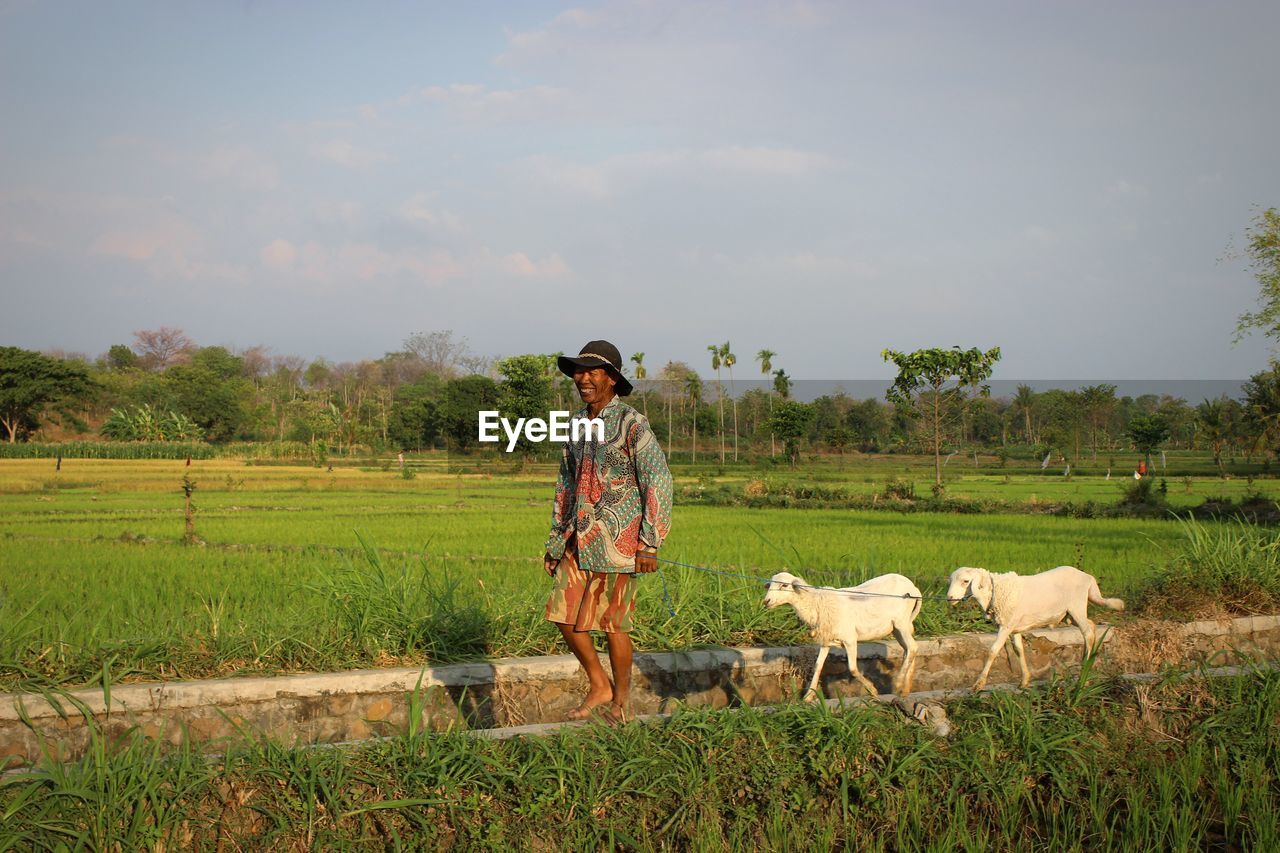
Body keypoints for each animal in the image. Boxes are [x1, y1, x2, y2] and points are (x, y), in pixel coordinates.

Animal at [757, 571, 921, 696]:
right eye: (770, 585)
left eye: (784, 585)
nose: (766, 601)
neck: (816, 603)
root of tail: (913, 588)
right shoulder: (826, 640)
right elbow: (818, 666)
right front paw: (809, 696)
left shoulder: (850, 639)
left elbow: (853, 668)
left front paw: (872, 690)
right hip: (898, 628)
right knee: (909, 649)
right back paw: (905, 689)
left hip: (901, 622)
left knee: (912, 647)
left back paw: (899, 683)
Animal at [947, 563, 1126, 691]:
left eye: (965, 581)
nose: (949, 598)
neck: (995, 592)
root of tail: (1088, 577)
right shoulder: (1014, 626)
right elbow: (1019, 650)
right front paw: (1024, 681)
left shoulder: (1007, 625)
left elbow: (993, 651)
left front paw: (978, 684)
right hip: (1069, 614)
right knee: (1092, 626)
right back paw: (1087, 662)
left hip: (1077, 606)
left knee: (1087, 632)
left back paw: (1083, 675)